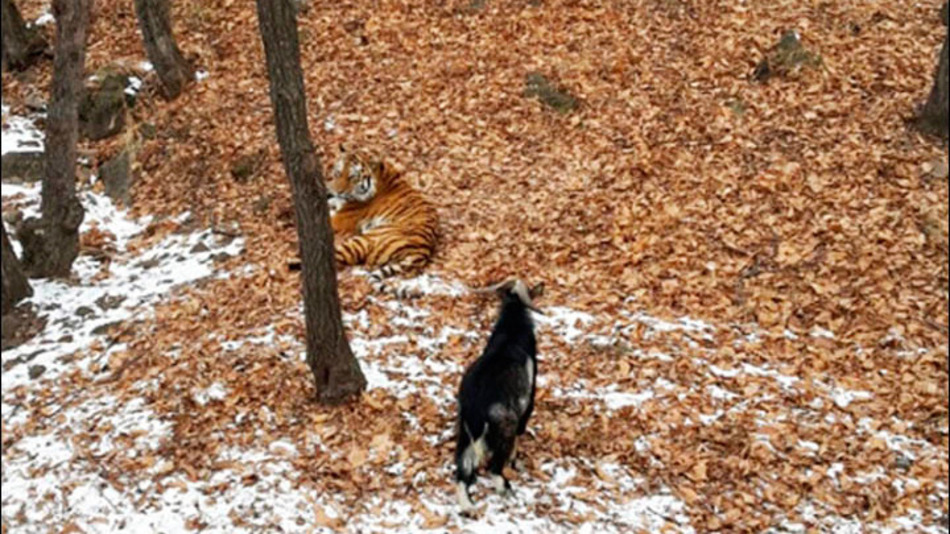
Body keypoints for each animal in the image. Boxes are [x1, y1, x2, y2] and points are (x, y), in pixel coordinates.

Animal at [322, 147, 436, 296]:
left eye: (352, 177)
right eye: (338, 173)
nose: (338, 192)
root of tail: (420, 253)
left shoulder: (340, 218)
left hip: (364, 240)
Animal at [454, 278, 544, 512]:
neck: (511, 331)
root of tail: (475, 406)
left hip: (464, 432)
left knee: (461, 471)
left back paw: (468, 507)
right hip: (504, 428)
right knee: (493, 468)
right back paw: (507, 490)